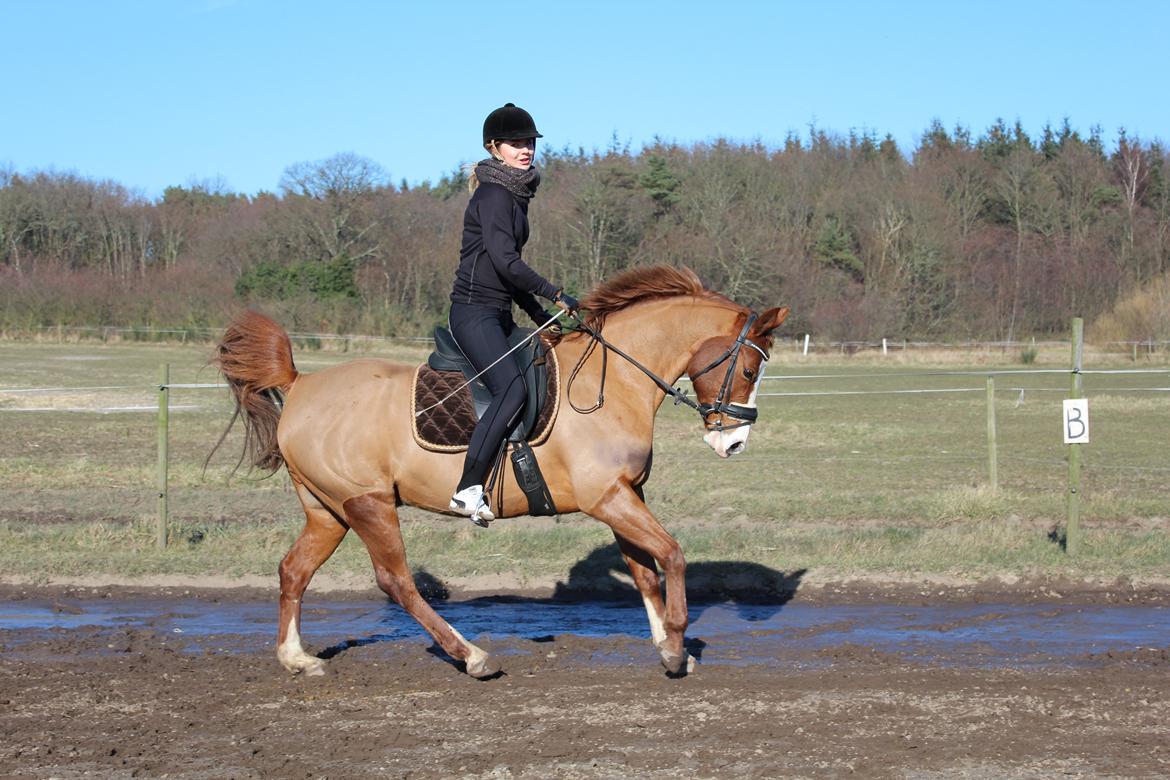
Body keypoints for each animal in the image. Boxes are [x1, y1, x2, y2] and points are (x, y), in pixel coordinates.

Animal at [215, 264, 790, 678]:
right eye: (748, 368)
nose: (732, 441)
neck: (614, 381)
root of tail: (300, 384)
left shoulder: (626, 494)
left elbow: (646, 571)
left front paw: (669, 648)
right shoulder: (607, 497)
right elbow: (671, 554)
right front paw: (676, 637)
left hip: (328, 511)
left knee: (294, 571)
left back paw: (296, 658)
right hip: (367, 504)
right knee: (396, 581)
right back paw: (471, 656)